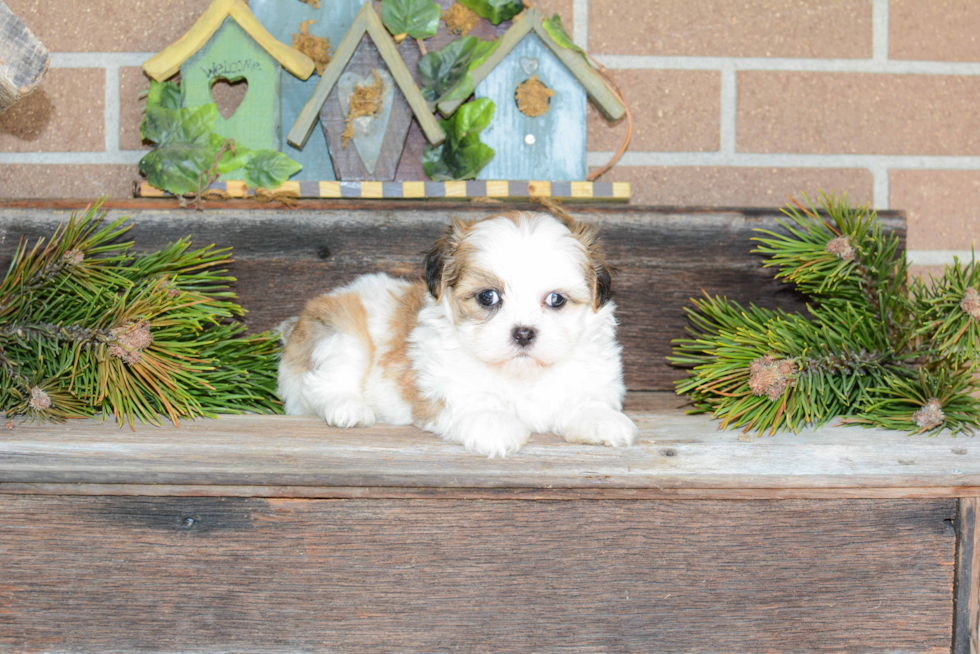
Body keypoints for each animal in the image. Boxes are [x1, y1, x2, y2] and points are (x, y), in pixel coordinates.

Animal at [280, 210, 640, 456]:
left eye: (556, 300)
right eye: (487, 297)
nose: (523, 333)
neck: (521, 375)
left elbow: (585, 398)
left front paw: (601, 419)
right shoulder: (444, 379)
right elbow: (472, 398)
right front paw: (494, 423)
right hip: (341, 332)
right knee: (323, 382)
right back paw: (348, 408)